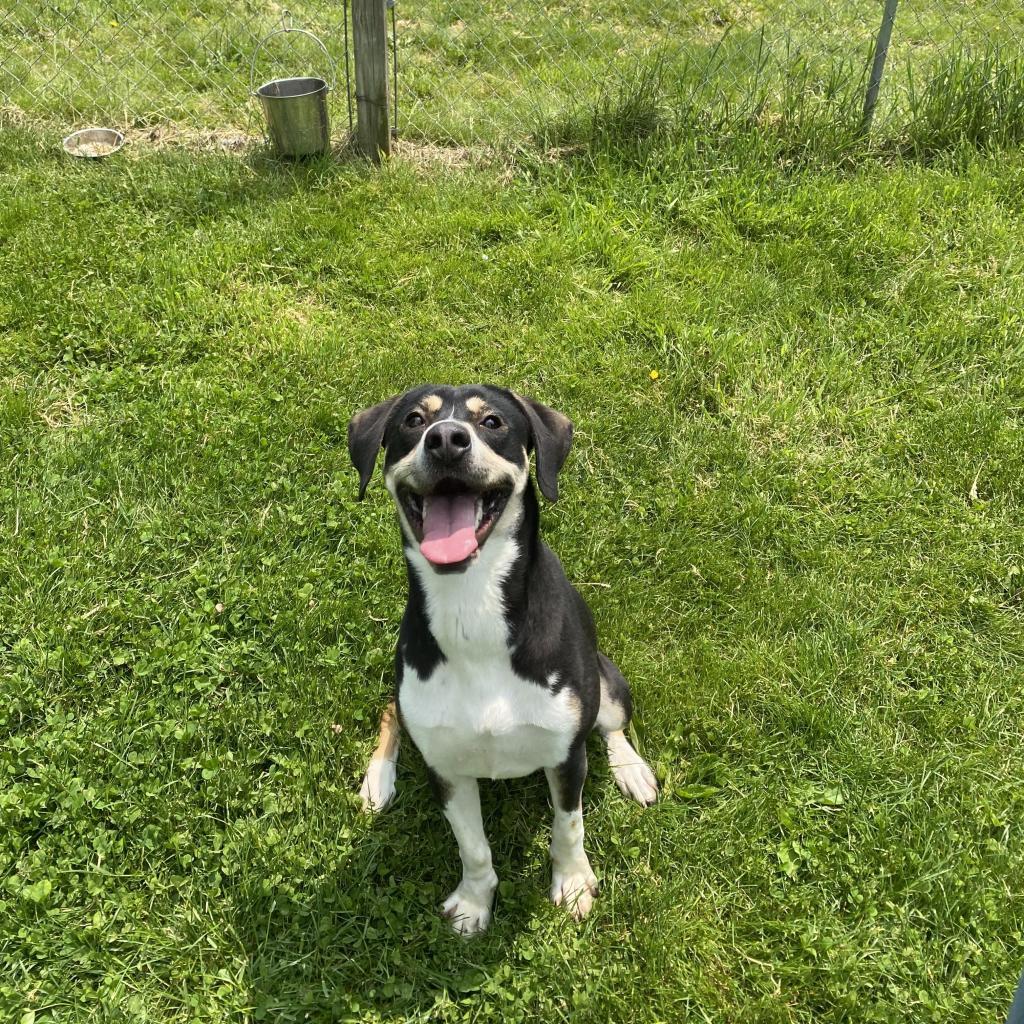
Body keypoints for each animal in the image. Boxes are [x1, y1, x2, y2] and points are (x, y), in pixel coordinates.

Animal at [348, 385, 659, 937]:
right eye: (413, 420)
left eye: (491, 421)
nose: (446, 439)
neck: (472, 605)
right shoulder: (447, 769)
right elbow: (473, 848)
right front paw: (475, 902)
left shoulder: (566, 755)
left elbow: (569, 826)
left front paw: (573, 883)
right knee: (391, 710)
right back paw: (378, 779)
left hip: (607, 678)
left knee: (612, 724)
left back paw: (632, 770)